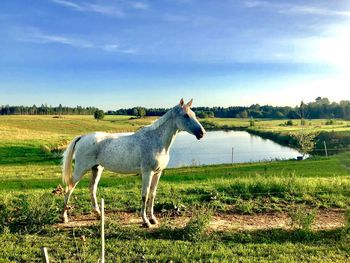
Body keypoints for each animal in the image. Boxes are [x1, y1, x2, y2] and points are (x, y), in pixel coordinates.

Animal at [62, 98, 205, 227]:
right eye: (186, 115)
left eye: (194, 115)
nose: (202, 133)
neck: (155, 140)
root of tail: (82, 137)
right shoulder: (147, 173)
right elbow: (145, 195)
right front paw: (146, 221)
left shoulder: (157, 173)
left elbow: (152, 195)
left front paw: (153, 219)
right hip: (80, 170)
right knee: (69, 188)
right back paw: (64, 218)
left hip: (96, 169)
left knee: (92, 188)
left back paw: (98, 215)